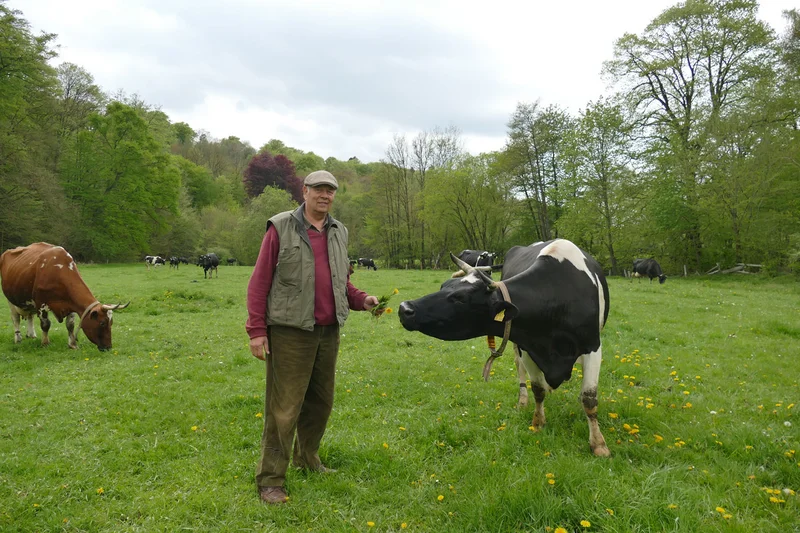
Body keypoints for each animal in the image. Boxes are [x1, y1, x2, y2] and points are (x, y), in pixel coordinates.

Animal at [0, 243, 129, 351]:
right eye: (102, 323)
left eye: (111, 323)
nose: (108, 347)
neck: (58, 272)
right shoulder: (41, 304)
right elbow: (45, 324)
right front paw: (45, 343)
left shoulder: (70, 304)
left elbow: (70, 325)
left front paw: (72, 344)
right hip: (11, 299)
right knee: (15, 318)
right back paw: (18, 339)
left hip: (28, 301)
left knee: (30, 316)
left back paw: (31, 334)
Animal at [398, 239, 610, 457]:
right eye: (443, 285)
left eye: (460, 298)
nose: (404, 308)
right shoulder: (527, 346)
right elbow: (538, 389)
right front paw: (538, 423)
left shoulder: (593, 347)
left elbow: (589, 399)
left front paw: (598, 444)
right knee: (519, 368)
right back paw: (523, 400)